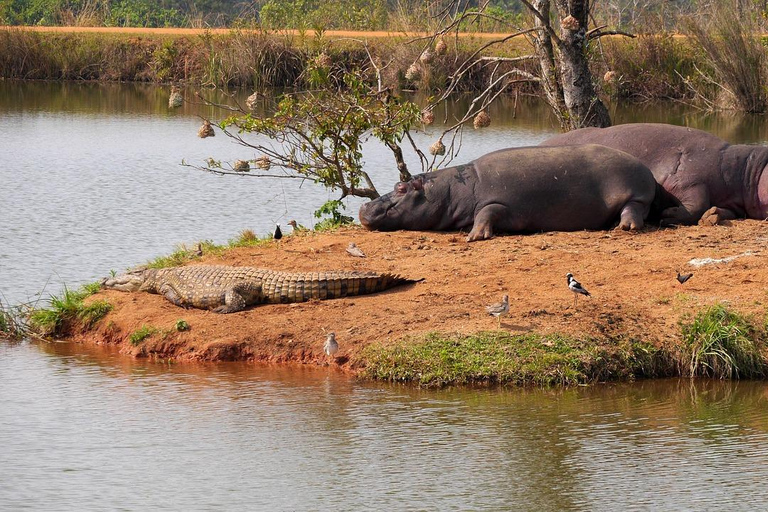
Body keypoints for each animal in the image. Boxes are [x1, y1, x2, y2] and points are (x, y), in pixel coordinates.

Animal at [356, 144, 656, 240]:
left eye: (401, 187)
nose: (363, 207)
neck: (452, 190)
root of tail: (646, 168)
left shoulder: (504, 204)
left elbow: (487, 212)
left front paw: (475, 236)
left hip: (636, 194)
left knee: (633, 210)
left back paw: (624, 228)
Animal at [540, 123, 768, 225]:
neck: (746, 169)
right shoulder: (688, 180)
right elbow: (696, 203)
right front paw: (667, 215)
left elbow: (722, 210)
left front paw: (712, 215)